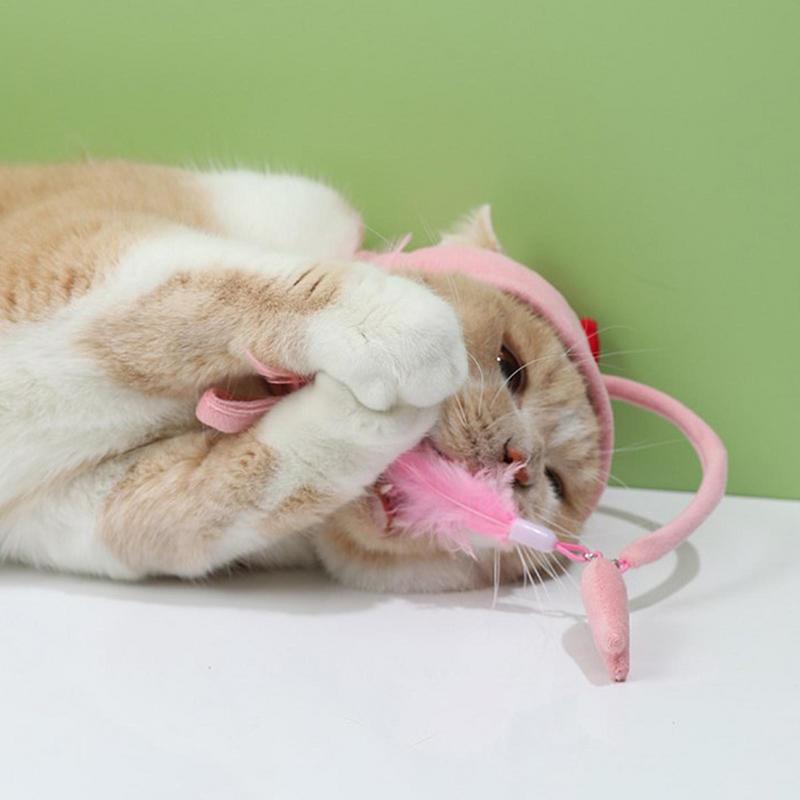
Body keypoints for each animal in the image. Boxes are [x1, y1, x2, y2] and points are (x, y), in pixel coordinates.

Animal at [0, 159, 600, 592]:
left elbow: (243, 486)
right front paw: (409, 331)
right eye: (509, 365)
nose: (517, 461)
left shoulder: (89, 507)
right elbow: (210, 285)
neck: (247, 388)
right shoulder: (84, 247)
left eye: (555, 485)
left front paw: (372, 421)